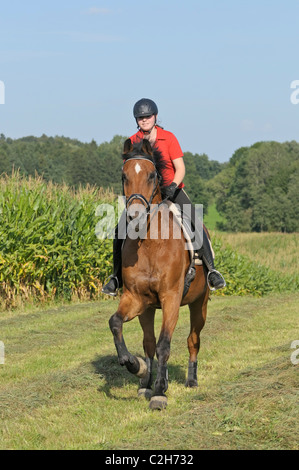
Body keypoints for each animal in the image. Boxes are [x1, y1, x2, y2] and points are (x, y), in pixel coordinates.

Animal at [108, 138, 211, 410]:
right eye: (124, 176)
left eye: (152, 175)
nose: (134, 215)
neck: (150, 243)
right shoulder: (135, 298)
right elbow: (116, 323)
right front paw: (137, 367)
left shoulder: (171, 298)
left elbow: (165, 343)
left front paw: (160, 392)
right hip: (147, 309)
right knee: (148, 342)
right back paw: (145, 381)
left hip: (200, 304)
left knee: (192, 339)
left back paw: (191, 380)